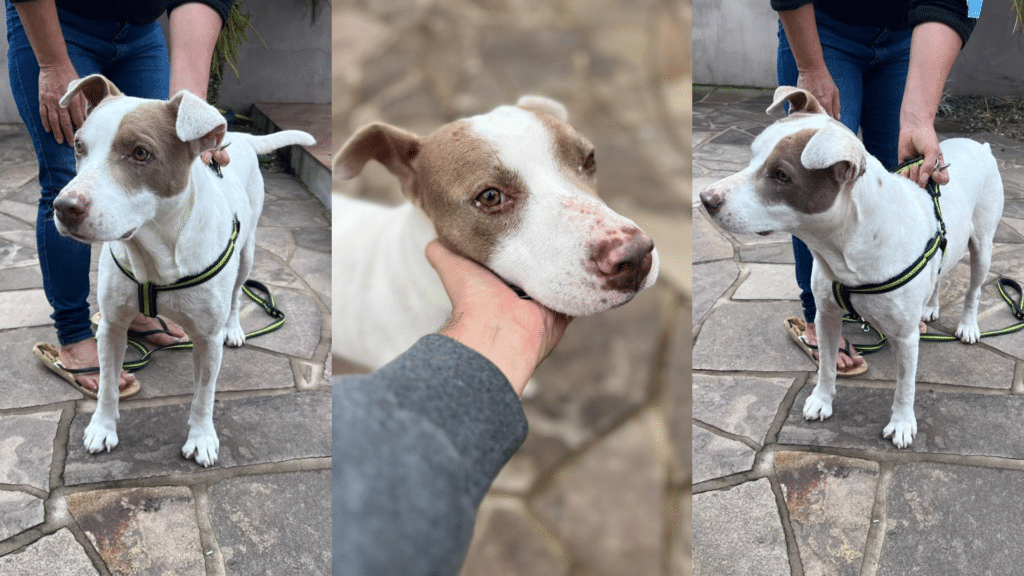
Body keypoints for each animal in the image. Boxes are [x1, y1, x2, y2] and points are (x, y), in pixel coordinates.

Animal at [51, 73, 313, 463]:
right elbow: (108, 386)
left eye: (140, 153)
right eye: (79, 145)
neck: (156, 257)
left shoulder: (207, 340)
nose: (64, 207)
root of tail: (242, 138)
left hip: (247, 252)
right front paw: (102, 427)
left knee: (237, 293)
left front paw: (202, 437)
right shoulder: (111, 328)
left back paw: (235, 329)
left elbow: (204, 396)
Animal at [700, 85, 1003, 446]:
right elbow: (827, 366)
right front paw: (821, 400)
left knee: (974, 290)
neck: (846, 245)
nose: (705, 198)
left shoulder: (905, 338)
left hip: (982, 247)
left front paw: (902, 423)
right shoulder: (827, 316)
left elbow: (905, 385)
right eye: (753, 156)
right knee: (939, 272)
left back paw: (969, 326)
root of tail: (980, 145)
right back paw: (930, 306)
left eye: (782, 175)